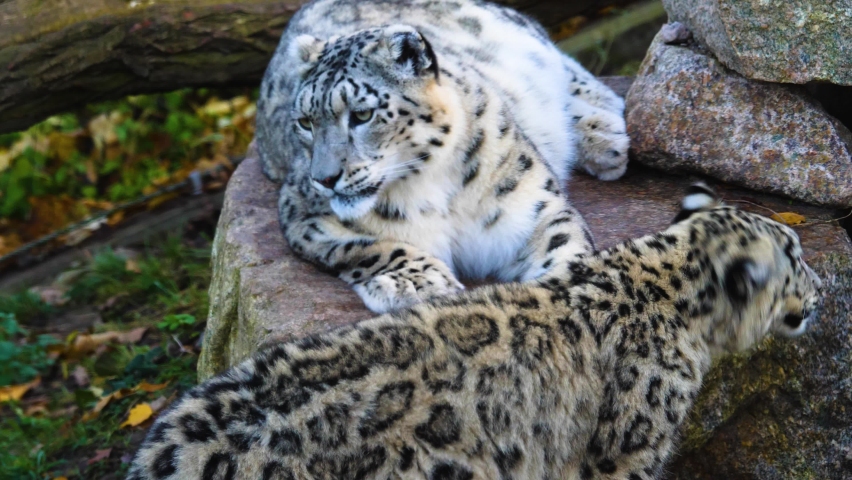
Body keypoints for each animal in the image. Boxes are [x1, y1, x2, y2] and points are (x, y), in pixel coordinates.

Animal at [255, 0, 631, 313]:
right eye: (305, 122)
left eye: (362, 115)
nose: (324, 179)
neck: (429, 184)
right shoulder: (302, 215)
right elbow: (364, 247)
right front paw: (418, 283)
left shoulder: (534, 207)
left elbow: (566, 247)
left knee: (563, 63)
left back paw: (605, 134)